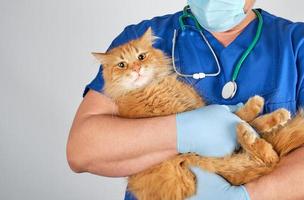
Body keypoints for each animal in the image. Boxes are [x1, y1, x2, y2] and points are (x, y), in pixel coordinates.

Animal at [92, 28, 304, 200]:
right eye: (121, 65)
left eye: (141, 57)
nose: (137, 69)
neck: (154, 86)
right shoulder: (182, 116)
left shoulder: (196, 105)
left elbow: (240, 115)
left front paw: (256, 112)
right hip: (202, 161)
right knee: (268, 157)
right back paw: (248, 132)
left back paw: (271, 117)